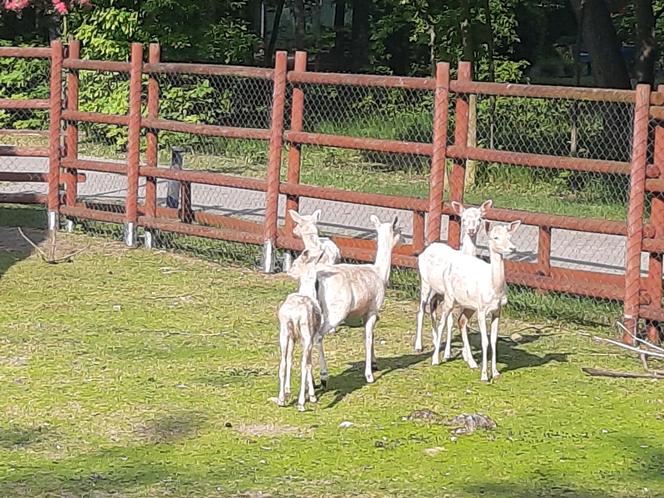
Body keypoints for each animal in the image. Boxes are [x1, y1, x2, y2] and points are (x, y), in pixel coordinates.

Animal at [276, 251, 326, 410]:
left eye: (295, 263)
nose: (288, 271)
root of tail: (295, 314)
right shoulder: (311, 336)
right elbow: (308, 363)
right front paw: (312, 395)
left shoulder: (293, 338)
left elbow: (290, 359)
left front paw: (287, 391)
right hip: (306, 334)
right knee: (304, 364)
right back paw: (301, 403)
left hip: (284, 333)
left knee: (283, 362)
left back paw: (281, 400)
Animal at [416, 200, 492, 368]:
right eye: (463, 219)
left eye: (479, 219)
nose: (471, 230)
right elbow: (450, 321)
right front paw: (447, 354)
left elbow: (460, 322)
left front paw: (464, 355)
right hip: (425, 282)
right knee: (422, 308)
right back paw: (418, 345)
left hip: (437, 291)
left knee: (432, 306)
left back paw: (435, 340)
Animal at [434, 220, 520, 384]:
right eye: (495, 237)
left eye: (509, 235)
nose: (513, 248)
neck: (494, 289)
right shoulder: (482, 310)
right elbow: (484, 341)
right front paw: (485, 376)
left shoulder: (497, 310)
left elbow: (493, 340)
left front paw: (496, 373)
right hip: (449, 296)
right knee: (442, 323)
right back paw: (435, 360)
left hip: (469, 306)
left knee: (461, 320)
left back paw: (472, 362)